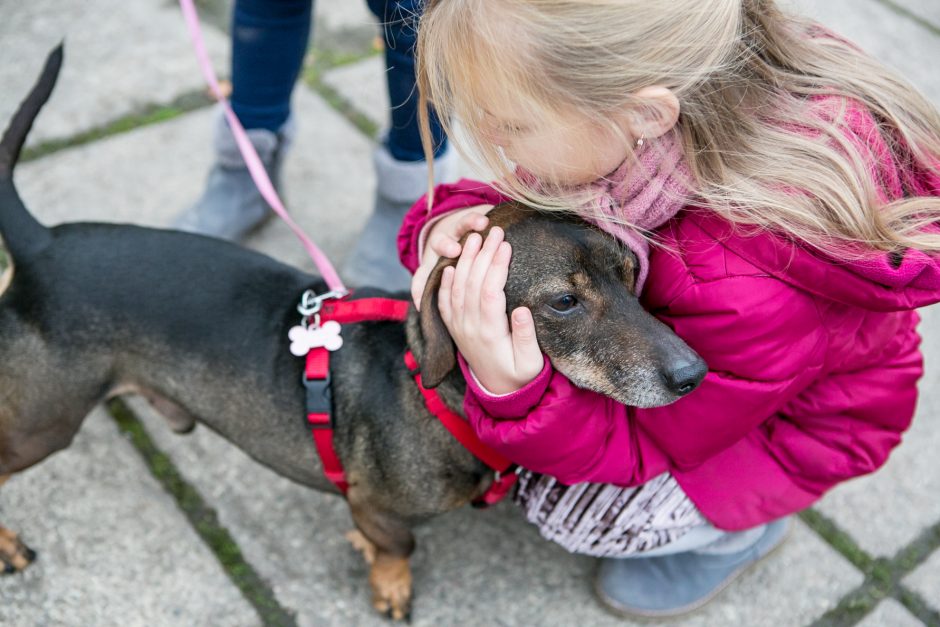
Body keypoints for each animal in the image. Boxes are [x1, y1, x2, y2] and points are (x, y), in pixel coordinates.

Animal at [0, 47, 704, 620]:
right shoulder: (377, 505)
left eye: (632, 275)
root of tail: (40, 246)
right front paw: (389, 585)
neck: (431, 389)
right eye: (563, 301)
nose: (694, 374)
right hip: (43, 424)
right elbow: (399, 546)